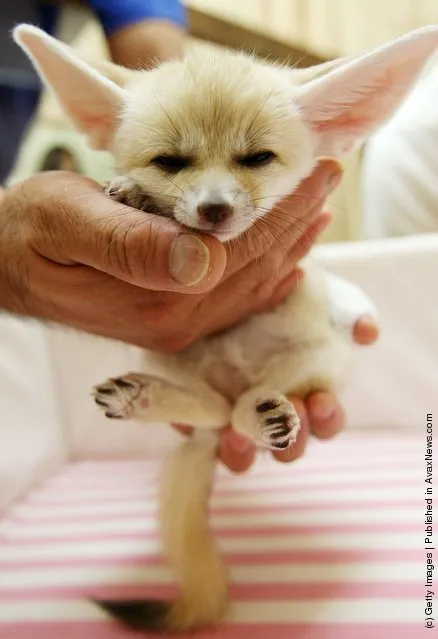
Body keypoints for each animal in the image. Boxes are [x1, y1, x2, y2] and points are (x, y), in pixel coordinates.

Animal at [15, 22, 438, 632]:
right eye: (169, 162)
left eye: (257, 157)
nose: (214, 209)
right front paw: (136, 195)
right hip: (168, 360)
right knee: (215, 411)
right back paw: (143, 397)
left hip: (315, 359)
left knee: (236, 412)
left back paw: (265, 415)